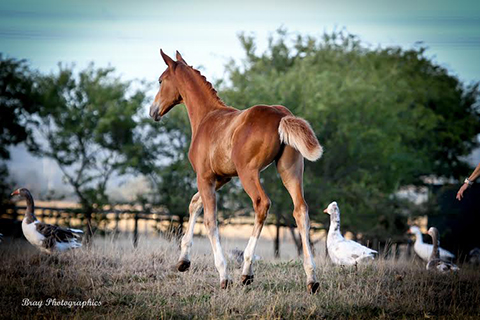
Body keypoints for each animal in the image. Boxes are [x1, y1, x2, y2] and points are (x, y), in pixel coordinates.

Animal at [150, 50, 322, 292]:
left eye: (160, 80)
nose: (153, 110)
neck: (206, 117)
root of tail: (281, 115)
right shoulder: (222, 177)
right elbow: (194, 203)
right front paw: (183, 261)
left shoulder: (204, 176)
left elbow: (210, 219)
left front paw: (224, 275)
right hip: (291, 169)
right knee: (301, 210)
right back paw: (311, 278)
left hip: (248, 172)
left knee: (262, 204)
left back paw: (246, 271)